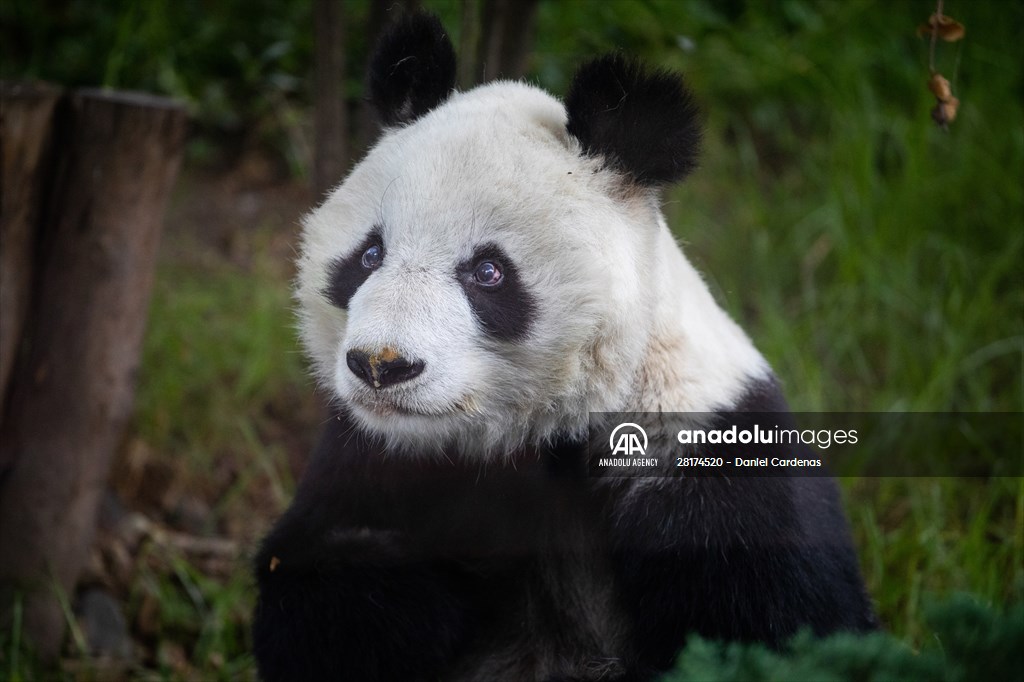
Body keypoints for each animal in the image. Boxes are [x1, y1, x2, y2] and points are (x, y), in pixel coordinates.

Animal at [251, 11, 876, 679]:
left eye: (488, 272)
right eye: (369, 255)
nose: (381, 366)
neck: (529, 439)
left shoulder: (708, 452)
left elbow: (785, 626)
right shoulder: (369, 459)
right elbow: (321, 594)